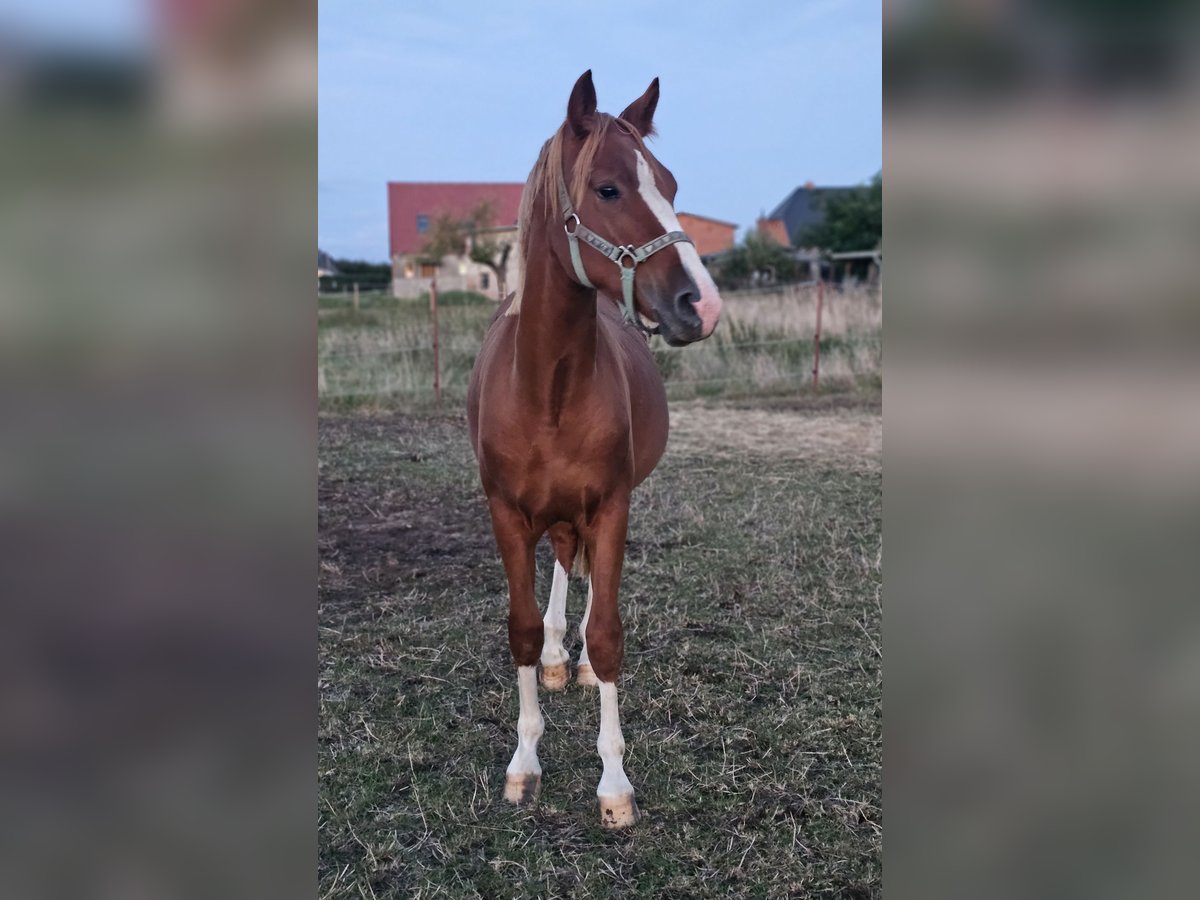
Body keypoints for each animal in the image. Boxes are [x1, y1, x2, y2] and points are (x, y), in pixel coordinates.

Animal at [463, 70, 715, 830]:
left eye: (671, 182)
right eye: (607, 188)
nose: (702, 303)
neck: (545, 387)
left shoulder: (610, 505)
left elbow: (606, 636)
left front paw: (613, 782)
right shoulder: (506, 513)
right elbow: (519, 627)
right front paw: (523, 764)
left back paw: (568, 659)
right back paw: (554, 655)